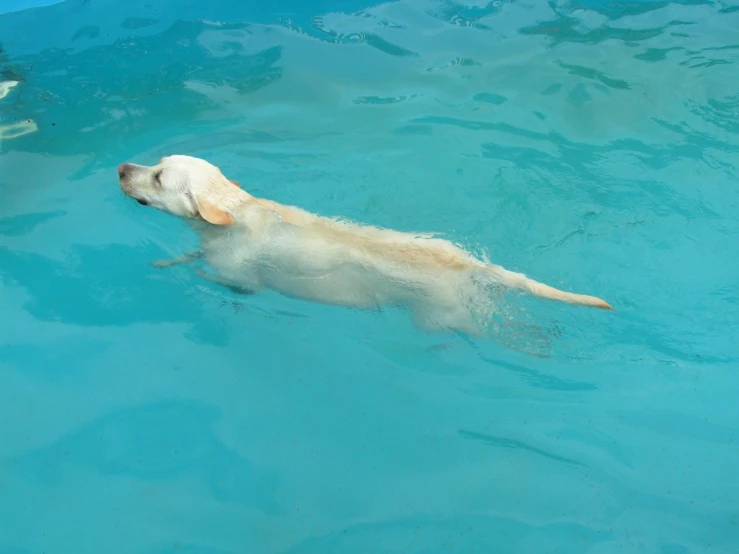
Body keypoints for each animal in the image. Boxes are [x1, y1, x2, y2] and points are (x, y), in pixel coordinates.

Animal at [117, 154, 612, 332]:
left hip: (438, 317)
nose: (121, 168)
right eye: (156, 162)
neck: (235, 209)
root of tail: (472, 264)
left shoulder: (239, 276)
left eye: (158, 177)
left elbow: (208, 271)